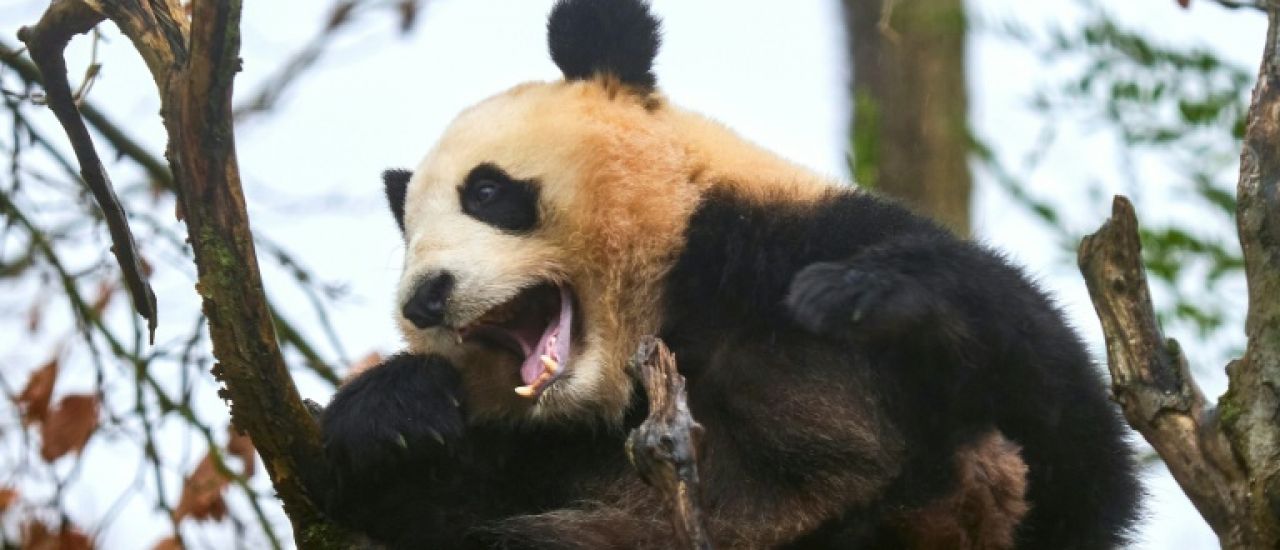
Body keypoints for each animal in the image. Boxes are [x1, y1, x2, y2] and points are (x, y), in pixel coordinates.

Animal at [311, 0, 1141, 548]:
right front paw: (393, 410)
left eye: (485, 192)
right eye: (409, 237)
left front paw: (872, 294)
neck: (666, 314)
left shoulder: (784, 242)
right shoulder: (550, 457)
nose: (425, 299)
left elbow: (1080, 455)